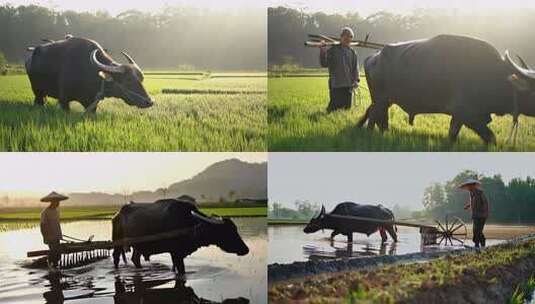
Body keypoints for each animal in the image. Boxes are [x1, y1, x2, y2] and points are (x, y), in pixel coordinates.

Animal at [25, 34, 153, 113]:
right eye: (128, 80)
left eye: (141, 79)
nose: (149, 101)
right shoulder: (64, 100)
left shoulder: (92, 103)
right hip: (36, 90)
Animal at [112, 198, 249, 274]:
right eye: (228, 231)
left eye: (235, 229)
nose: (246, 249)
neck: (190, 224)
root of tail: (117, 214)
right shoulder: (176, 253)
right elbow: (181, 270)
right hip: (117, 243)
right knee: (116, 257)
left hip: (138, 246)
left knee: (135, 258)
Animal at [358, 35, 535, 144]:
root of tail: (373, 57)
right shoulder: (466, 113)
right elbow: (491, 137)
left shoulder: (459, 117)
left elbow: (453, 134)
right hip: (380, 100)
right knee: (374, 117)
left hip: (384, 101)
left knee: (380, 117)